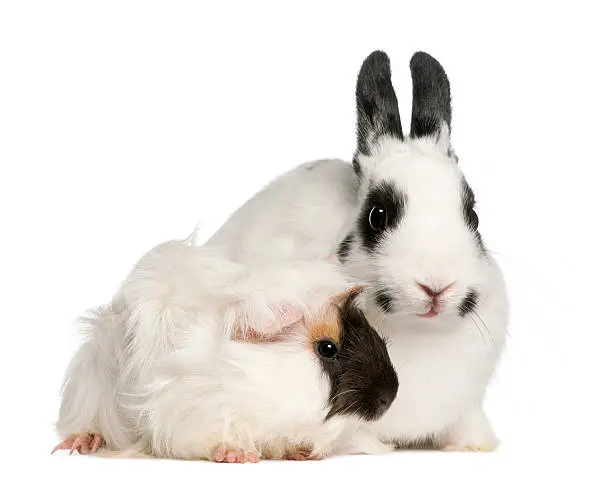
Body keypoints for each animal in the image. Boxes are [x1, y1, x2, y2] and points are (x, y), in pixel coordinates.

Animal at [208, 51, 510, 452]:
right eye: (376, 216)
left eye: (473, 216)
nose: (436, 286)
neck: (418, 331)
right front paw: (372, 448)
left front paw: (475, 444)